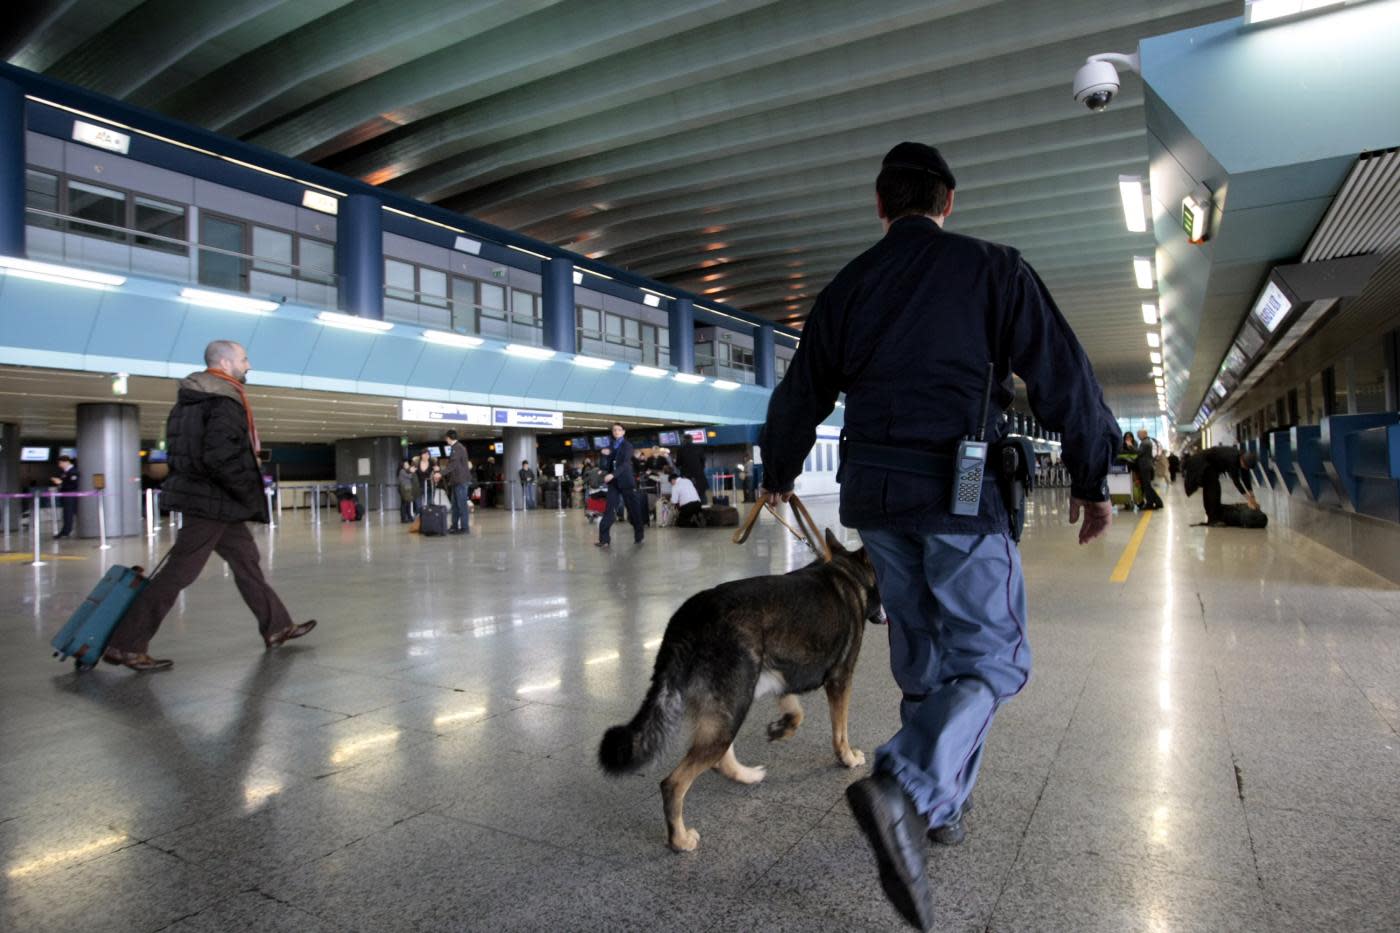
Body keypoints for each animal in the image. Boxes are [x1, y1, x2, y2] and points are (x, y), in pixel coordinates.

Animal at [596, 526, 879, 846]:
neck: (847, 572)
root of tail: (687, 619)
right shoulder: (840, 679)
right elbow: (840, 730)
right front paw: (847, 757)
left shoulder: (779, 676)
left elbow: (796, 711)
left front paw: (782, 728)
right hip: (734, 704)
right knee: (675, 782)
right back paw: (679, 839)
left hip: (730, 705)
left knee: (720, 758)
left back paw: (745, 775)